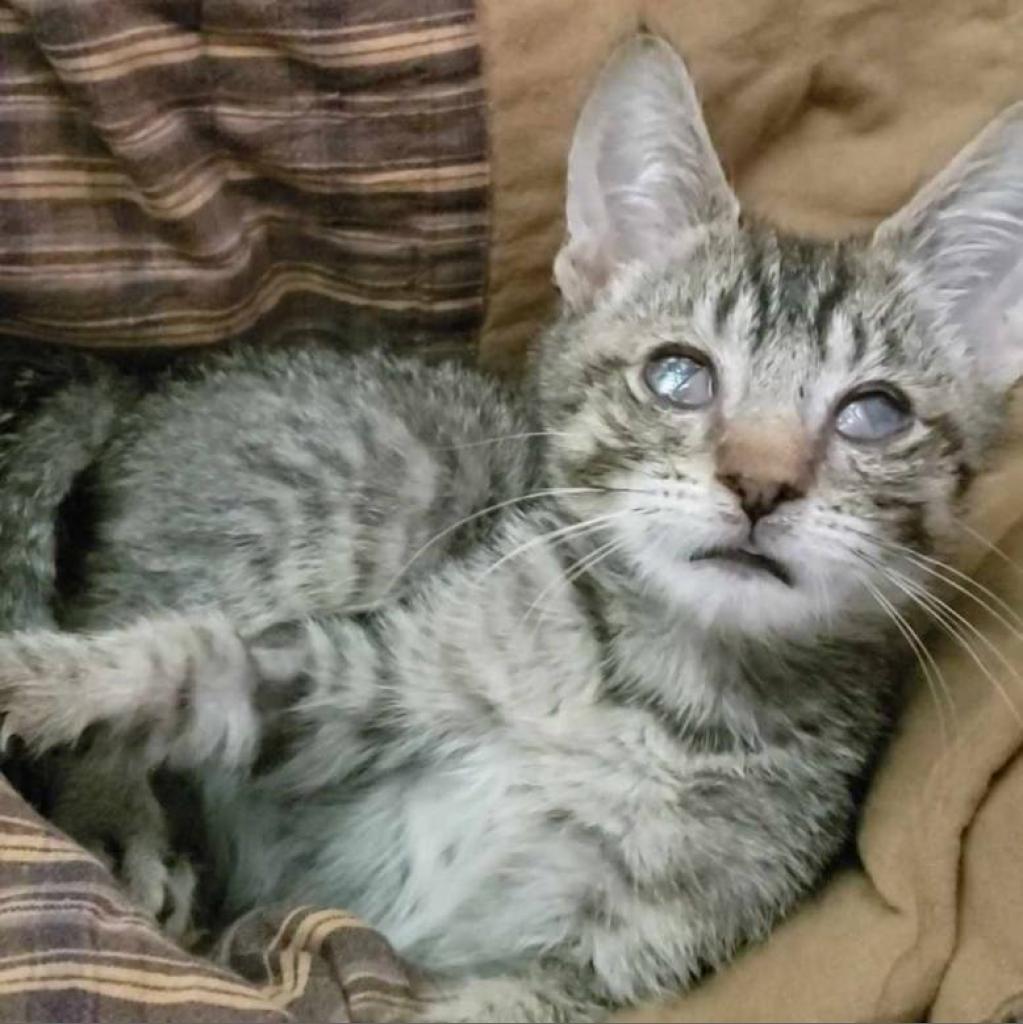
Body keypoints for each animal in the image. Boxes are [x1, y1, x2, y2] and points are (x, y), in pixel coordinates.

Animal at [2, 34, 1023, 1024]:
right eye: (677, 376)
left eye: (875, 414)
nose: (759, 484)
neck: (660, 690)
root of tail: (145, 383)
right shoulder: (359, 680)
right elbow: (189, 660)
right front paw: (41, 683)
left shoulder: (593, 970)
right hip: (394, 479)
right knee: (120, 599)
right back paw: (117, 817)